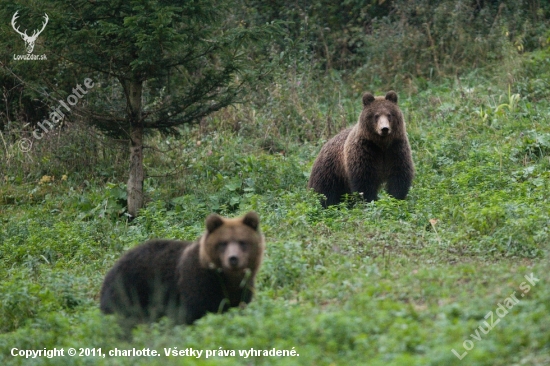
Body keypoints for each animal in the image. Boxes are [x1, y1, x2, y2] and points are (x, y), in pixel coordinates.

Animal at [100, 212, 266, 326]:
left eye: (242, 242)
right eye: (223, 243)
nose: (233, 259)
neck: (226, 278)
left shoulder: (243, 288)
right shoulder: (196, 283)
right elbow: (193, 314)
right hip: (130, 289)